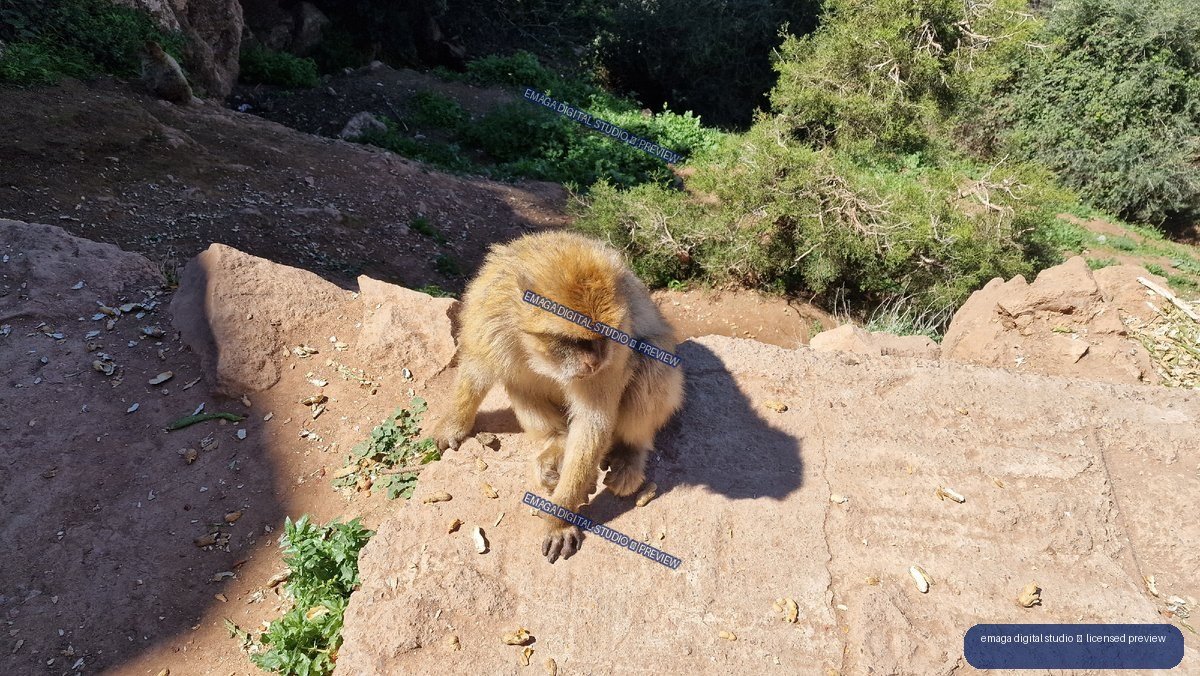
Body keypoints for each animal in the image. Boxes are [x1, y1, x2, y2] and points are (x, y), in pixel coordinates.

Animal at [433, 231, 685, 563]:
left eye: (601, 336)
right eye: (575, 340)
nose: (594, 363)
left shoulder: (617, 342)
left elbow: (593, 419)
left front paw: (559, 519)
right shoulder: (491, 314)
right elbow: (477, 369)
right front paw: (454, 423)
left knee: (652, 363)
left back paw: (630, 453)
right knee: (516, 379)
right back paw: (557, 442)